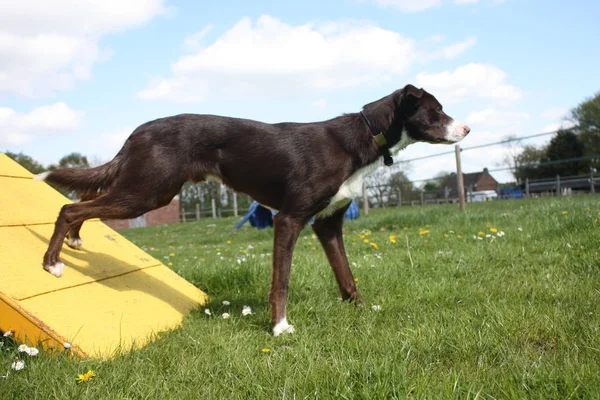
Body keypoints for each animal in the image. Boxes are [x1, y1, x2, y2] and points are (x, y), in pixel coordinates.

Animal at [36, 85, 468, 338]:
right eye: (436, 110)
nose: (466, 129)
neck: (362, 137)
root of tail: (138, 130)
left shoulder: (328, 224)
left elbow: (347, 276)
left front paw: (363, 311)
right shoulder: (288, 220)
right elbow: (282, 282)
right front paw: (279, 327)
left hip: (145, 190)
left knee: (82, 202)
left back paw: (74, 243)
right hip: (147, 191)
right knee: (69, 206)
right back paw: (52, 262)